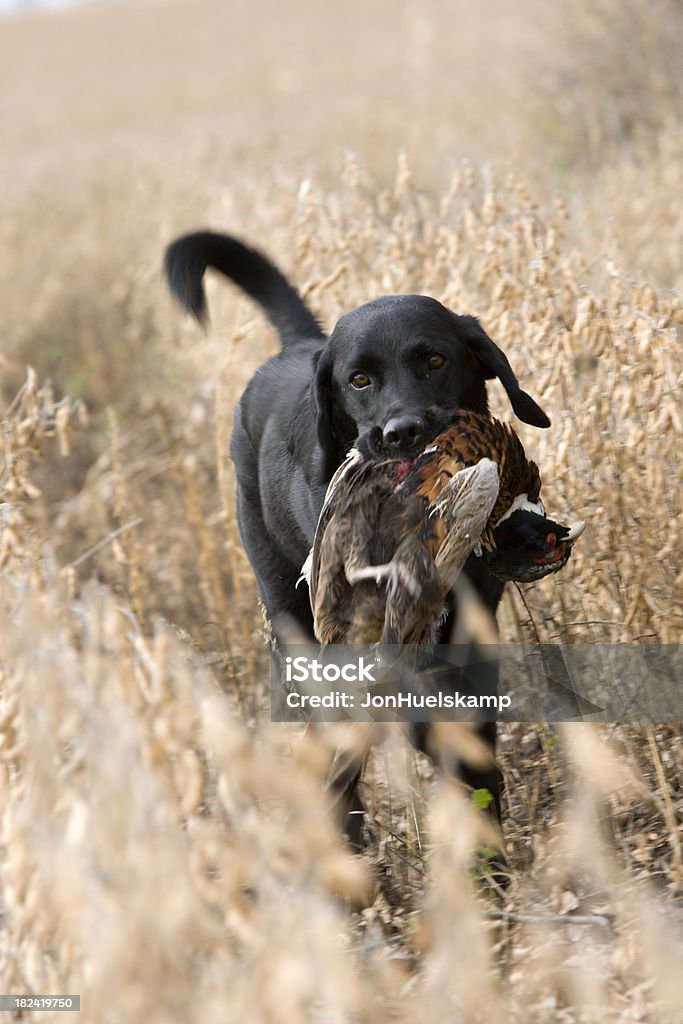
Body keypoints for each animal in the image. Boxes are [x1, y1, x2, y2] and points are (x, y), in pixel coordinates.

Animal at [163, 234, 548, 847]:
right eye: (359, 380)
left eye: (435, 360)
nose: (402, 432)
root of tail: (304, 346)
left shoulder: (468, 631)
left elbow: (470, 739)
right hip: (289, 609)